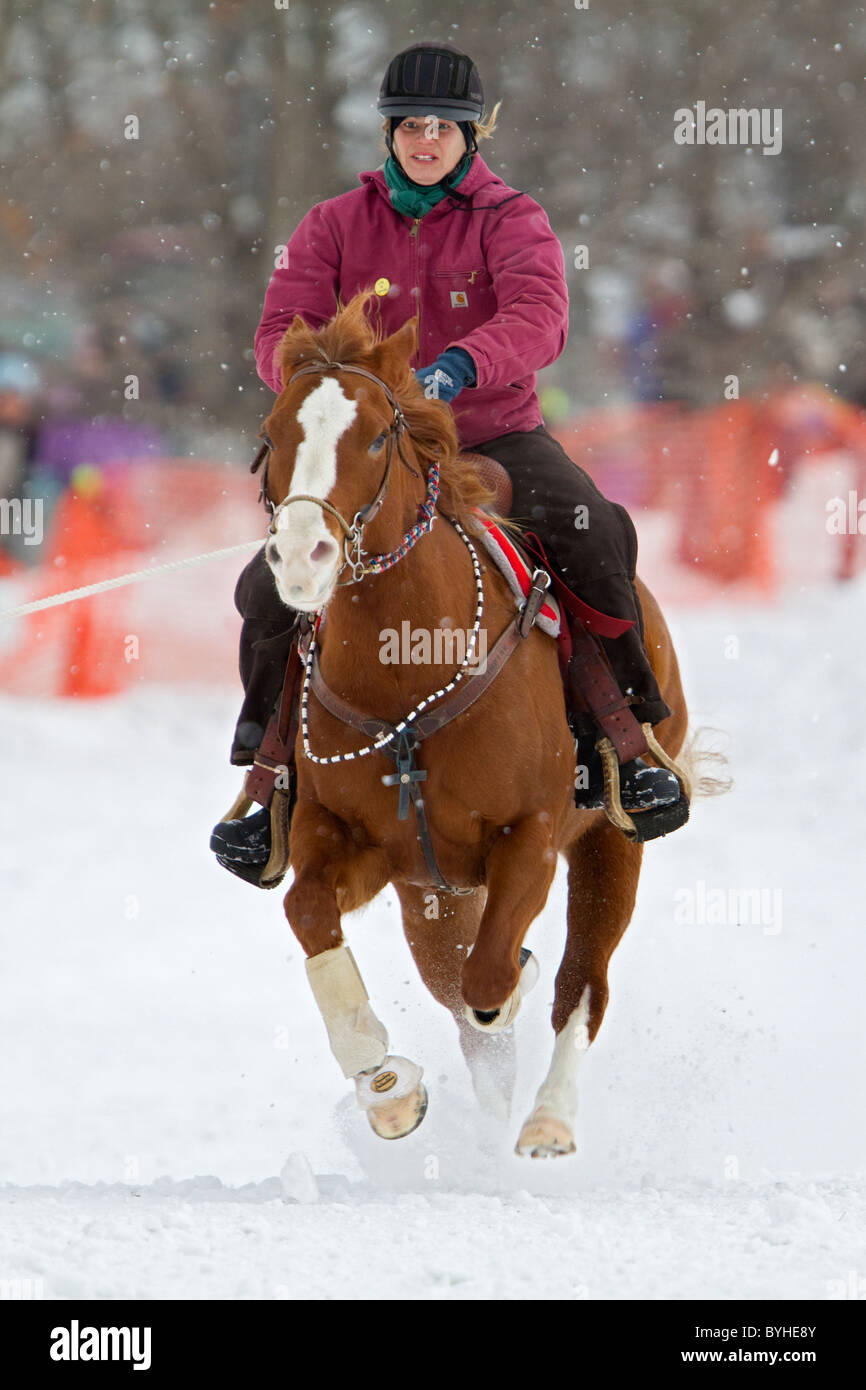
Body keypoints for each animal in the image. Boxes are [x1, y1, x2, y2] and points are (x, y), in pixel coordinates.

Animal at [258, 296, 692, 1162]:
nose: (301, 553)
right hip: (433, 892)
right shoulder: (346, 840)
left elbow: (495, 978)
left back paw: (549, 1118)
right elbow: (311, 916)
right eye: (274, 431)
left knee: (579, 983)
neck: (406, 671)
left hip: (610, 845)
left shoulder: (530, 837)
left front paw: (514, 981)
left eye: (376, 435)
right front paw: (388, 1088)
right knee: (461, 998)